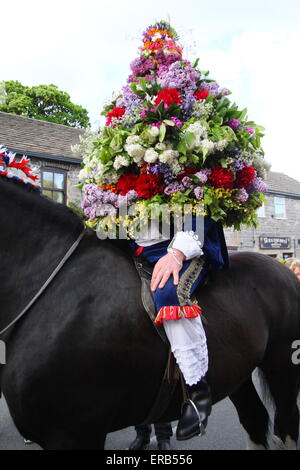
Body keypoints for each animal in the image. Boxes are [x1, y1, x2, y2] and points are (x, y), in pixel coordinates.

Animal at [0, 174, 300, 450]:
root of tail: (284, 270)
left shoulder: (74, 434)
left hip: (282, 366)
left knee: (286, 424)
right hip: (239, 373)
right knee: (254, 420)